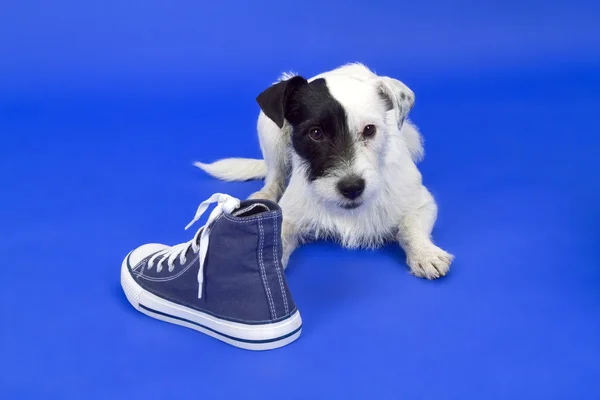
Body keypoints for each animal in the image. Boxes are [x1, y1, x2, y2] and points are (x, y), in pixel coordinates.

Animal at [195, 64, 452, 280]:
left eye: (369, 130)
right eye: (316, 133)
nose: (352, 188)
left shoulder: (421, 202)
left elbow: (409, 227)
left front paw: (425, 253)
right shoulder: (290, 215)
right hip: (269, 129)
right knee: (275, 173)